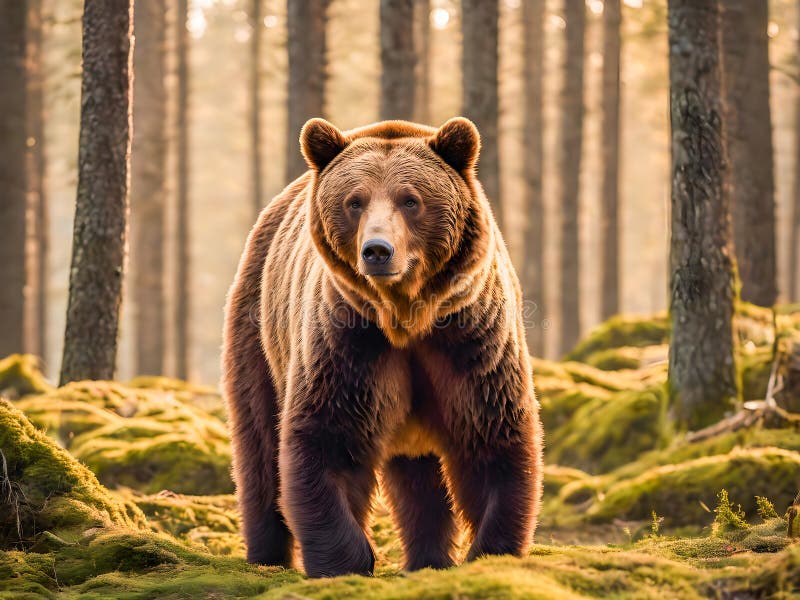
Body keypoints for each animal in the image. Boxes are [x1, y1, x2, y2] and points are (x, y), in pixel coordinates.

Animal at [221, 117, 543, 578]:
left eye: (411, 200)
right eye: (354, 201)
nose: (377, 250)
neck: (405, 318)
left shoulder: (471, 340)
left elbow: (492, 439)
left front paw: (492, 551)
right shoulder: (347, 344)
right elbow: (327, 441)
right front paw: (342, 563)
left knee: (419, 481)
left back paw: (428, 560)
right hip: (259, 328)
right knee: (260, 444)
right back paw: (267, 557)